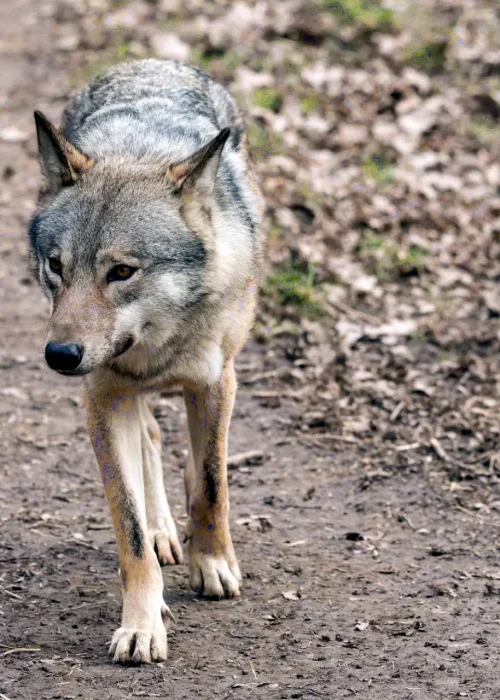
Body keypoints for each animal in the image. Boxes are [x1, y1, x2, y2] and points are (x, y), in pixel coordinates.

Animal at [28, 59, 264, 664]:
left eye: (121, 272)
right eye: (57, 265)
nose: (60, 355)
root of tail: (149, 63)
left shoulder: (214, 383)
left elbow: (211, 486)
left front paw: (213, 565)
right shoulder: (103, 398)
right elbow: (128, 530)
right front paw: (141, 624)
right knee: (153, 440)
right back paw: (162, 533)